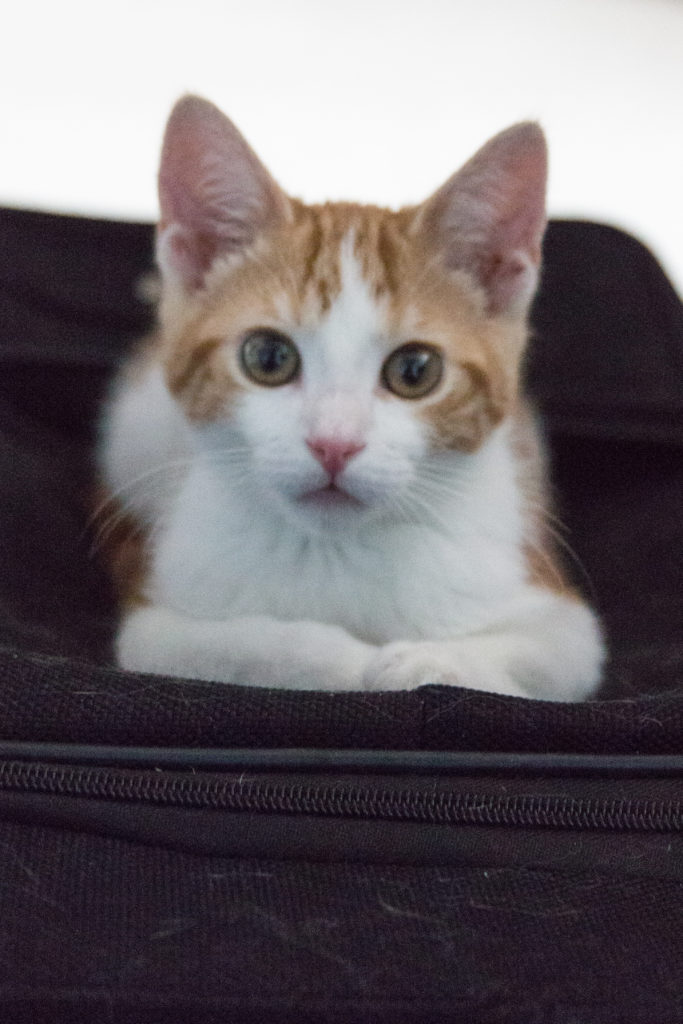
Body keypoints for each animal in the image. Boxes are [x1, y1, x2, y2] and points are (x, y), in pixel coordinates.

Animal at [96, 96, 602, 700]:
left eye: (415, 371)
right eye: (268, 358)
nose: (333, 445)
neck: (337, 550)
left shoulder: (559, 612)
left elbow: (531, 654)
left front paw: (423, 663)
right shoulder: (156, 619)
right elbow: (244, 646)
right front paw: (348, 661)